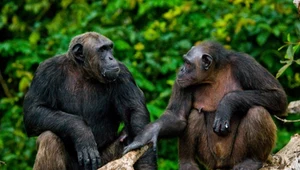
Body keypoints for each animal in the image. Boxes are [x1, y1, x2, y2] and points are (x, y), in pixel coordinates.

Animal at [23, 31, 157, 170]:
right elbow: (35, 110)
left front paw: (145, 160)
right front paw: (82, 132)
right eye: (102, 49)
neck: (84, 72)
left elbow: (134, 110)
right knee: (49, 139)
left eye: (110, 48)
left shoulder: (123, 74)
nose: (111, 58)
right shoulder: (45, 71)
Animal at [125, 41, 288, 170]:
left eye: (188, 63)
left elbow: (277, 96)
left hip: (237, 156)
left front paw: (227, 104)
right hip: (209, 158)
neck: (213, 75)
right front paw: (146, 134)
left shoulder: (245, 63)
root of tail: (222, 165)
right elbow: (177, 115)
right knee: (193, 115)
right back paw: (187, 164)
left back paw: (253, 161)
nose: (181, 70)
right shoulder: (181, 82)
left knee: (258, 111)